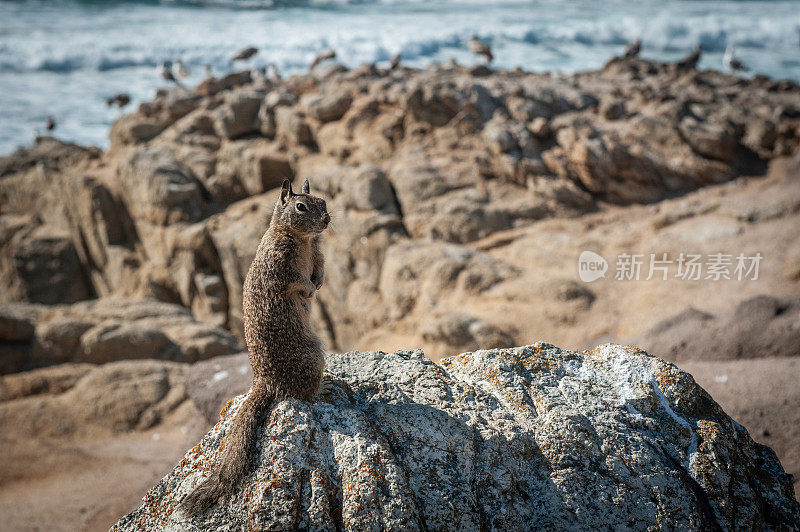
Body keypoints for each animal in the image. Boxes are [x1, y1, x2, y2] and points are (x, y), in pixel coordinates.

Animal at [182, 179, 332, 516]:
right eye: (301, 207)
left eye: (323, 201)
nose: (327, 220)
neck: (302, 239)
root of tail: (264, 381)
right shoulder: (282, 267)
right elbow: (297, 281)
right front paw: (309, 290)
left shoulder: (318, 254)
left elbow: (319, 268)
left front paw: (318, 284)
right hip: (313, 356)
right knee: (302, 395)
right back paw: (324, 390)